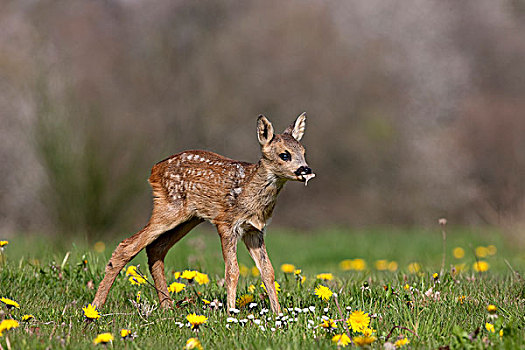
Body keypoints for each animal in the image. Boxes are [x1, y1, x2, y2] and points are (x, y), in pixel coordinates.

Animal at [91, 113, 314, 314]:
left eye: (303, 151)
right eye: (285, 154)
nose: (305, 169)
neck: (249, 193)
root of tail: (154, 169)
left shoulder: (254, 230)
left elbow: (268, 271)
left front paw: (278, 314)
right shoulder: (226, 223)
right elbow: (232, 271)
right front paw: (231, 313)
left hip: (189, 218)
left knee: (155, 248)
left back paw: (167, 307)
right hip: (168, 208)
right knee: (127, 246)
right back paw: (95, 308)